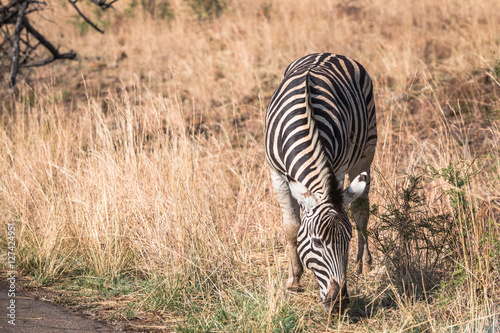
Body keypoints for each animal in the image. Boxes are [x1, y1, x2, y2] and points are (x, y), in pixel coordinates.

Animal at [266, 52, 376, 312]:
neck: (305, 124)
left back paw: (364, 263)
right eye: (316, 242)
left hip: (366, 149)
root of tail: (329, 53)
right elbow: (291, 227)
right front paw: (294, 280)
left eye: (347, 240)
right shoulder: (277, 175)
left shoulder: (337, 171)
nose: (339, 304)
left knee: (361, 210)